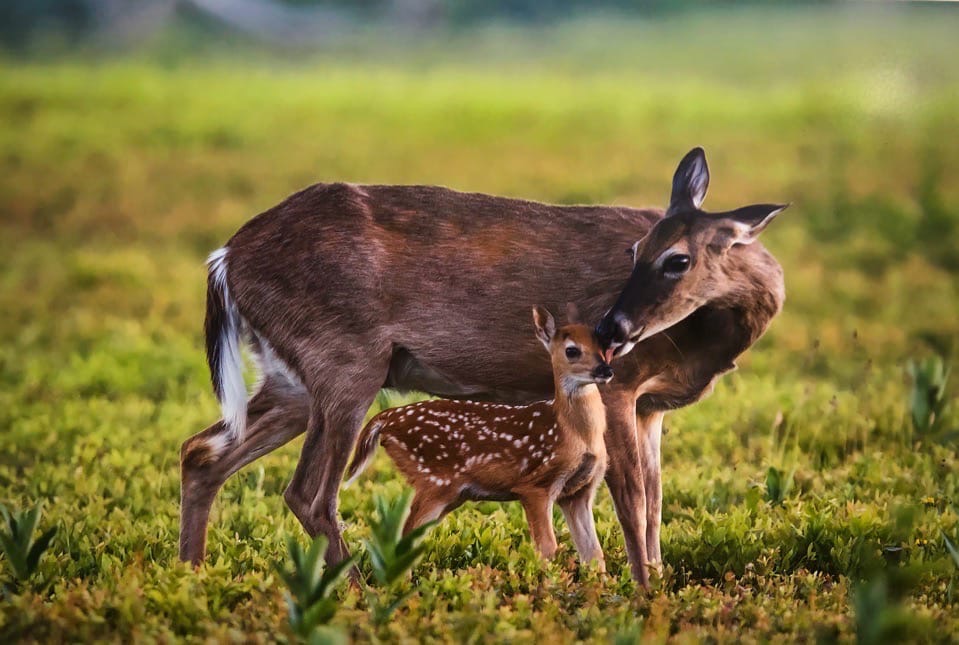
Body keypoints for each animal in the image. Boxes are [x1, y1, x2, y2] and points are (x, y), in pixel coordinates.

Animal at [182, 147, 788, 588]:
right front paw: (644, 592)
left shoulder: (653, 407)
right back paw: (359, 594)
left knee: (201, 452)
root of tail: (224, 259)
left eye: (676, 258)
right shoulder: (623, 386)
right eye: (634, 251)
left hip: (292, 377)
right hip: (346, 359)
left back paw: (190, 575)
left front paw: (657, 581)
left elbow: (657, 502)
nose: (611, 329)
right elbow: (634, 501)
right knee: (309, 492)